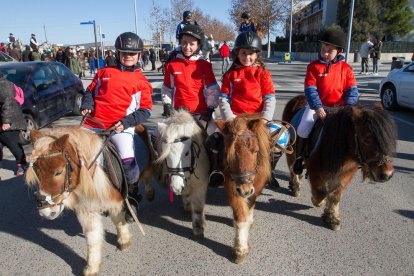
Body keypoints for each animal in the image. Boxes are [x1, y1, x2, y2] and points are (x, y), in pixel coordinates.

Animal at [25, 126, 155, 274]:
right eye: (37, 171)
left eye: (58, 172)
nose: (46, 211)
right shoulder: (86, 209)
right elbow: (92, 237)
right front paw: (92, 267)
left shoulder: (114, 202)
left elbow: (118, 221)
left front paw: (124, 241)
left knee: (145, 175)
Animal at [156, 109, 210, 238]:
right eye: (165, 154)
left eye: (186, 153)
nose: (175, 188)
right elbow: (186, 193)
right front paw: (187, 206)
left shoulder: (200, 184)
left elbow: (198, 206)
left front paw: (198, 228)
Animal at [215, 113, 274, 264]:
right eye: (230, 154)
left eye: (256, 150)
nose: (245, 189)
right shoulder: (233, 188)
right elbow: (240, 216)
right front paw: (240, 249)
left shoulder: (256, 188)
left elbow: (250, 205)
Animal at [284, 95, 396, 231]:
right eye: (367, 139)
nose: (387, 174)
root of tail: (298, 97)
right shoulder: (315, 172)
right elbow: (320, 193)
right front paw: (320, 203)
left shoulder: (345, 174)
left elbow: (335, 195)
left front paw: (332, 218)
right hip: (291, 151)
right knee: (292, 167)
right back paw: (295, 185)